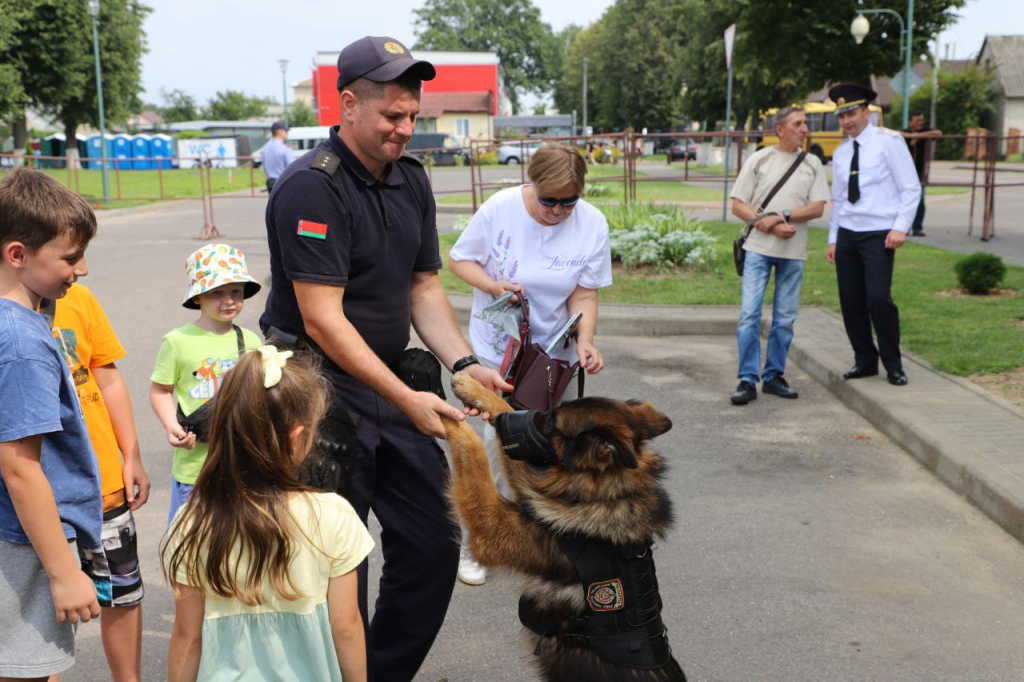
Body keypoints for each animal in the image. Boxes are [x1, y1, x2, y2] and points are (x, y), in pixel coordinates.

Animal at [442, 372, 686, 682]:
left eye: (552, 422)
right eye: (548, 411)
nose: (502, 423)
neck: (608, 492)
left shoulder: (493, 525)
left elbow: (476, 456)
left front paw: (439, 410)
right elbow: (501, 412)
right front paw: (475, 388)